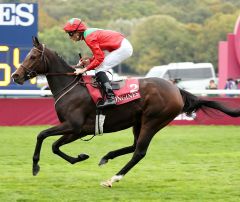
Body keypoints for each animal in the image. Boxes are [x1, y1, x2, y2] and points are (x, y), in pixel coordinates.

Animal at [11, 37, 240, 187]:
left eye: (33, 56)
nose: (15, 76)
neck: (71, 87)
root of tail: (176, 89)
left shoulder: (74, 126)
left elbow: (42, 135)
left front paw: (35, 166)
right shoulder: (78, 130)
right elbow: (55, 146)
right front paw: (80, 157)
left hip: (153, 121)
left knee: (139, 152)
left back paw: (113, 178)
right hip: (139, 121)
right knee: (133, 146)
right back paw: (106, 157)